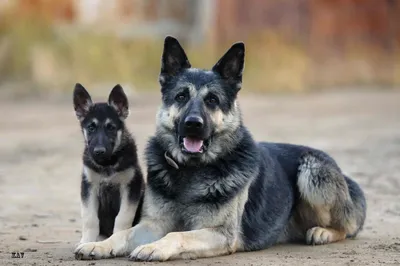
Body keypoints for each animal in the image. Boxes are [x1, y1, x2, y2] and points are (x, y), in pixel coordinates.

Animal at [73, 84, 144, 245]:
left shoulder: (131, 186)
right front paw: (87, 242)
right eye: (91, 128)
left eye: (111, 127)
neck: (107, 165)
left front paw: (116, 239)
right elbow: (90, 218)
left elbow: (123, 218)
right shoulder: (89, 186)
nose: (99, 151)